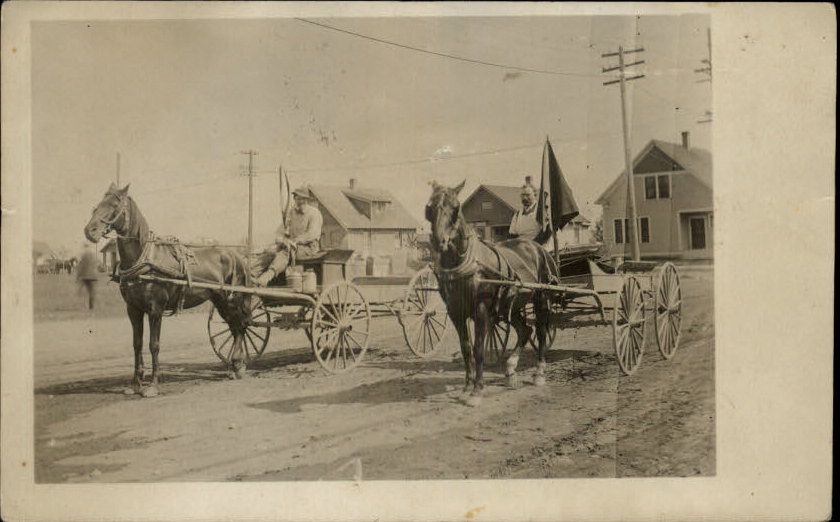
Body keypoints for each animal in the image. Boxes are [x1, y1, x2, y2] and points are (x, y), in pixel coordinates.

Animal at [85, 183, 256, 394]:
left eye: (114, 205)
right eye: (99, 203)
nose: (89, 231)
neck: (144, 258)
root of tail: (237, 256)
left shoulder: (155, 309)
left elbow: (154, 345)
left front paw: (153, 385)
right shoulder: (133, 309)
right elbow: (137, 344)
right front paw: (135, 384)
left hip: (232, 299)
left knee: (240, 326)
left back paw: (237, 365)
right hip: (220, 301)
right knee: (235, 327)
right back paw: (235, 366)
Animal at [426, 181, 556, 404]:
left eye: (456, 207)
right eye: (429, 208)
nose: (438, 241)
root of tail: (536, 247)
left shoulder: (481, 310)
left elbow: (479, 349)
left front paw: (477, 390)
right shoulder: (455, 312)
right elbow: (466, 348)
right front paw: (467, 386)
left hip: (541, 298)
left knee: (540, 331)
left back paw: (539, 372)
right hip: (510, 305)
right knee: (525, 330)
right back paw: (510, 369)